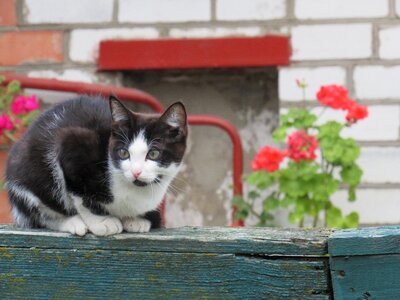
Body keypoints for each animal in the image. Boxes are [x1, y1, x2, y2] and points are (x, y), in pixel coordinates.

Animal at [5, 95, 188, 236]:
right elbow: (81, 196)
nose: (136, 172)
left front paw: (136, 219)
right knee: (42, 212)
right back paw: (72, 222)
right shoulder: (71, 145)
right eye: (123, 153)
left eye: (153, 154)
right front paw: (101, 222)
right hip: (29, 179)